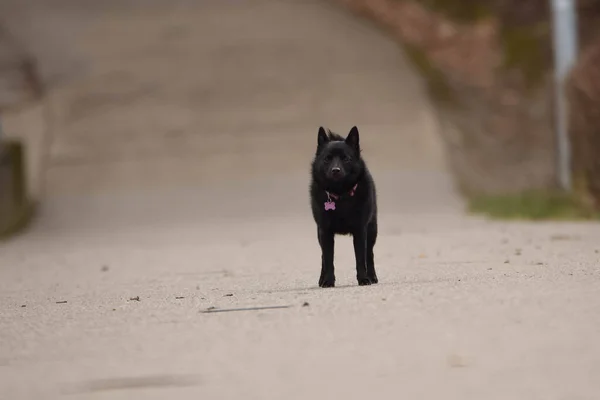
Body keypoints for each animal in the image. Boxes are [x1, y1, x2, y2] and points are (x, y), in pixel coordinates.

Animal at [312, 126, 378, 286]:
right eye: (327, 159)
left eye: (346, 159)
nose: (336, 170)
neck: (341, 194)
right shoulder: (325, 232)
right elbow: (328, 259)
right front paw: (328, 281)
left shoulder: (360, 230)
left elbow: (360, 258)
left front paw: (364, 279)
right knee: (322, 257)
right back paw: (321, 279)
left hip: (372, 230)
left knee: (369, 254)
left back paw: (372, 276)